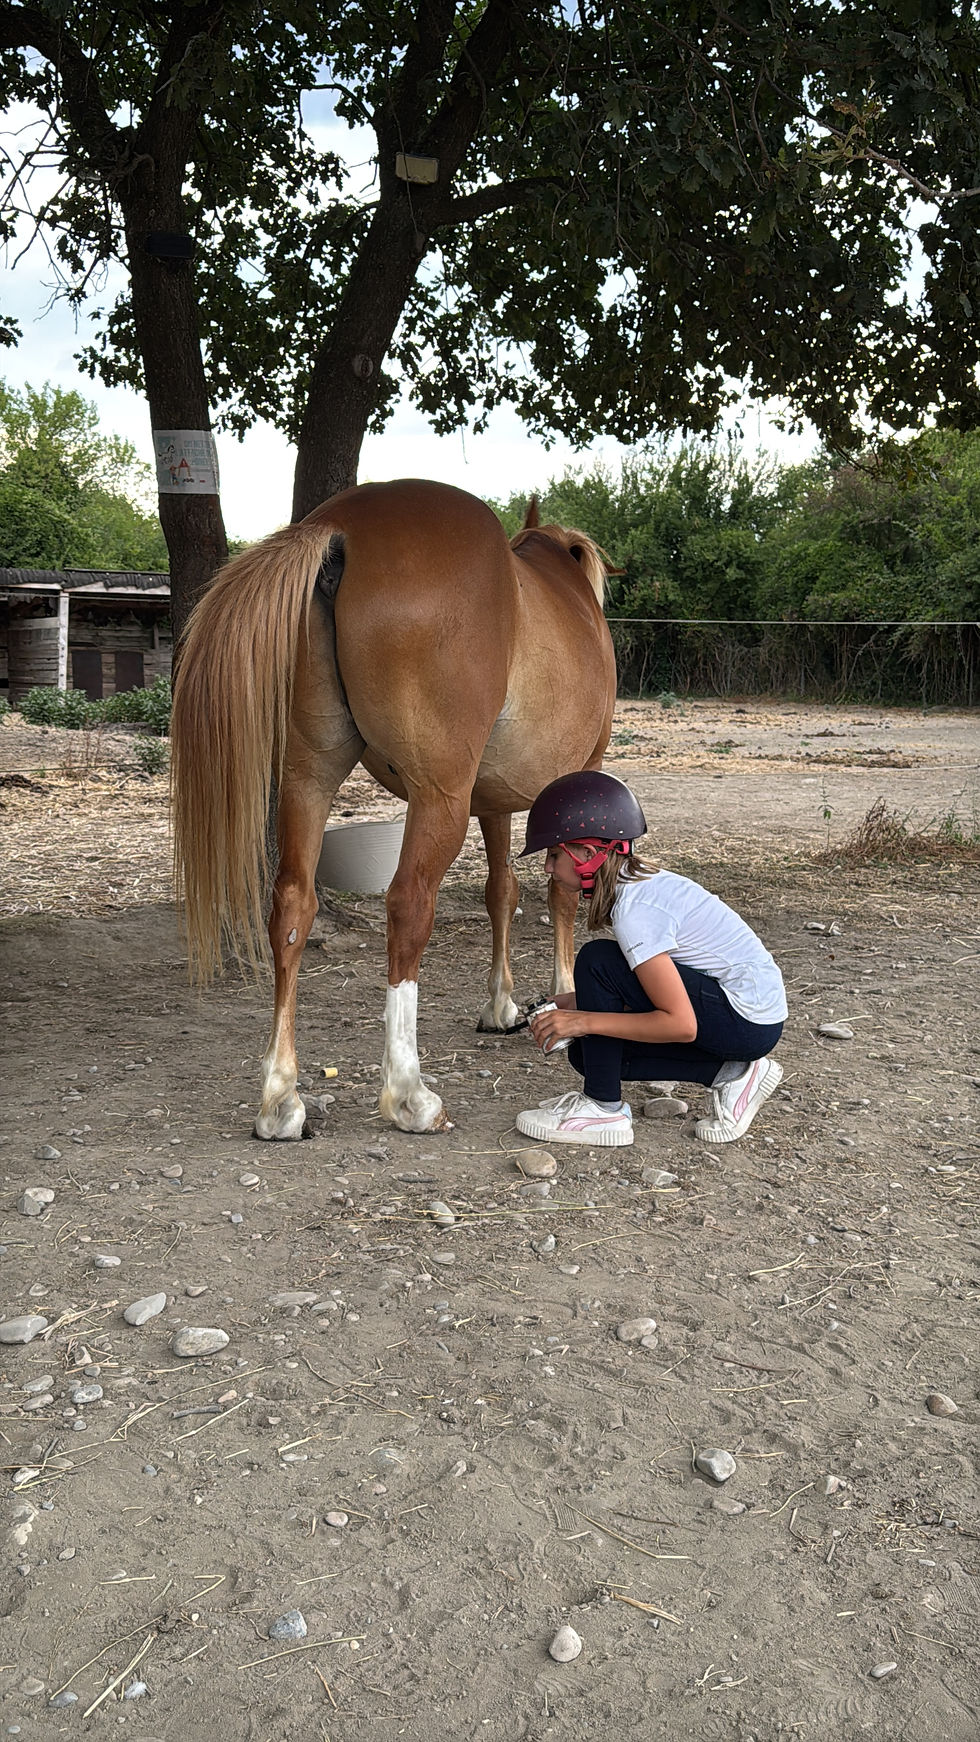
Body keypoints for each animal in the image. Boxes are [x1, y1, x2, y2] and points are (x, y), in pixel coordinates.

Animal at [170, 477, 617, 1138]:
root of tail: (339, 527)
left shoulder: (494, 801)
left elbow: (501, 891)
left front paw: (501, 1004)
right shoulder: (559, 785)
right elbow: (559, 892)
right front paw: (561, 998)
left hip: (308, 780)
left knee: (292, 909)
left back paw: (280, 1099)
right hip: (437, 799)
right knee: (407, 906)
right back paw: (409, 1093)